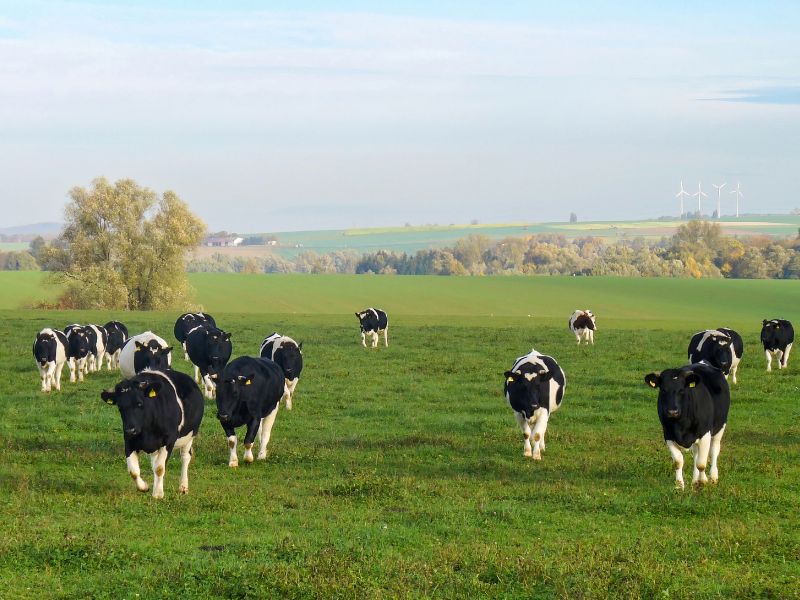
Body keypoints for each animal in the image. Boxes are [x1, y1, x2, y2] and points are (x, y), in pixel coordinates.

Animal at [100, 368, 205, 500]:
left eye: (139, 403)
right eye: (120, 407)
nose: (131, 430)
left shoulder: (168, 440)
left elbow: (160, 468)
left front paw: (158, 494)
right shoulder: (129, 441)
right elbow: (133, 471)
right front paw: (144, 487)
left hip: (190, 436)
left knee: (185, 457)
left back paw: (183, 487)